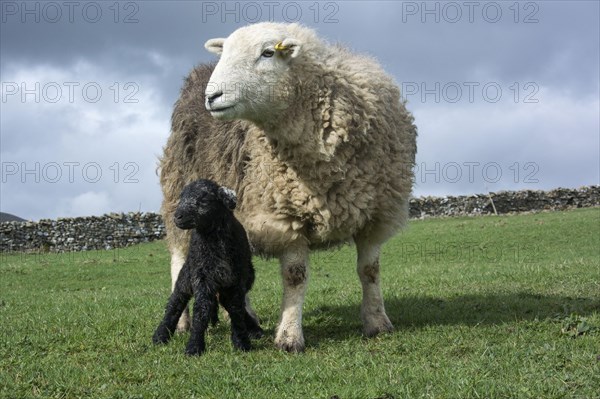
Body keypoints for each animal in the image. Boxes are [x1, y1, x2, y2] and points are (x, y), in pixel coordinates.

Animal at [152, 179, 262, 356]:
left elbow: (236, 308)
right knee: (175, 302)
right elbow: (201, 309)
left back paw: (254, 329)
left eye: (204, 200)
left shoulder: (236, 278)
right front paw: (194, 346)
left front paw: (241, 342)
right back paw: (161, 335)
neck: (214, 239)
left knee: (227, 302)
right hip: (186, 276)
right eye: (181, 198)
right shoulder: (202, 276)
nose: (177, 217)